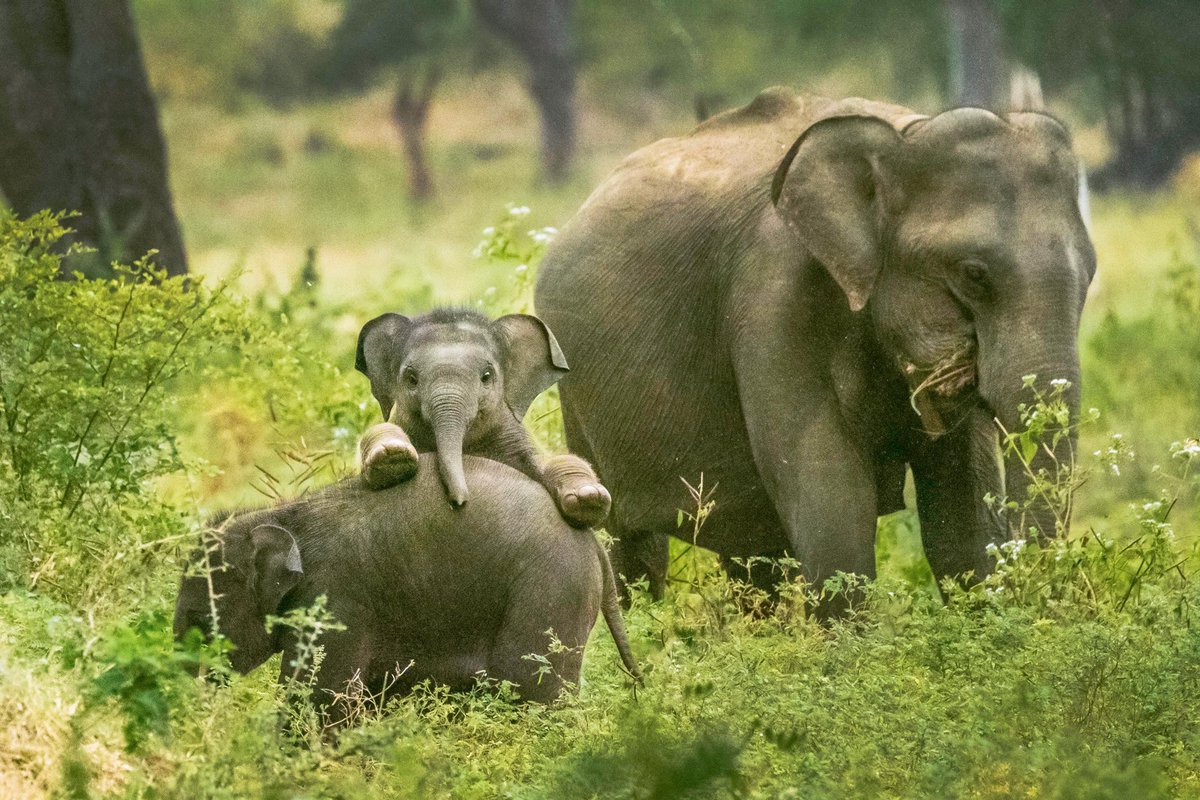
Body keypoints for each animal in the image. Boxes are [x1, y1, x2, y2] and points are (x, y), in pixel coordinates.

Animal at [173, 455, 641, 719]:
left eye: (199, 621)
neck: (285, 514)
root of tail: (593, 543)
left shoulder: (336, 600)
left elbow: (322, 698)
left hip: (549, 591)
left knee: (531, 693)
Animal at [354, 308, 611, 529]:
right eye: (411, 379)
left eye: (486, 376)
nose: (458, 502)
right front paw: (392, 457)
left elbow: (554, 462)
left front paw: (589, 498)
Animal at [534, 88, 1095, 609]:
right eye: (974, 274)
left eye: (1090, 274)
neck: (904, 135)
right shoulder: (773, 296)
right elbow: (831, 499)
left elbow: (961, 517)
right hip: (577, 392)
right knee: (629, 542)